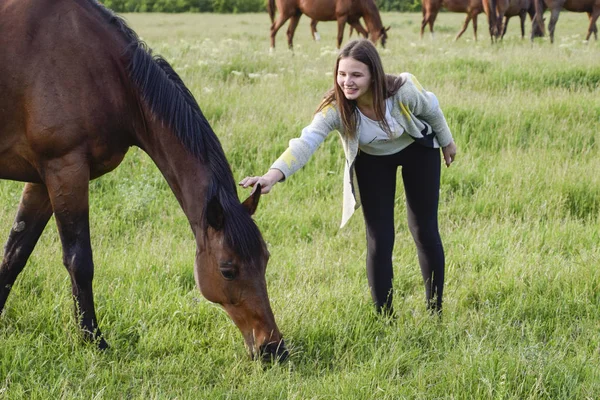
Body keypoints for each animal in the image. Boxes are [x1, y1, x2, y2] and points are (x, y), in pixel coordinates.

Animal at [0, 0, 288, 362]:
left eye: (265, 259)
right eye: (228, 269)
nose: (273, 348)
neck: (103, 72)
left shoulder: (42, 180)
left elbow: (15, 253)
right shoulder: (65, 169)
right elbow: (79, 260)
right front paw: (94, 341)